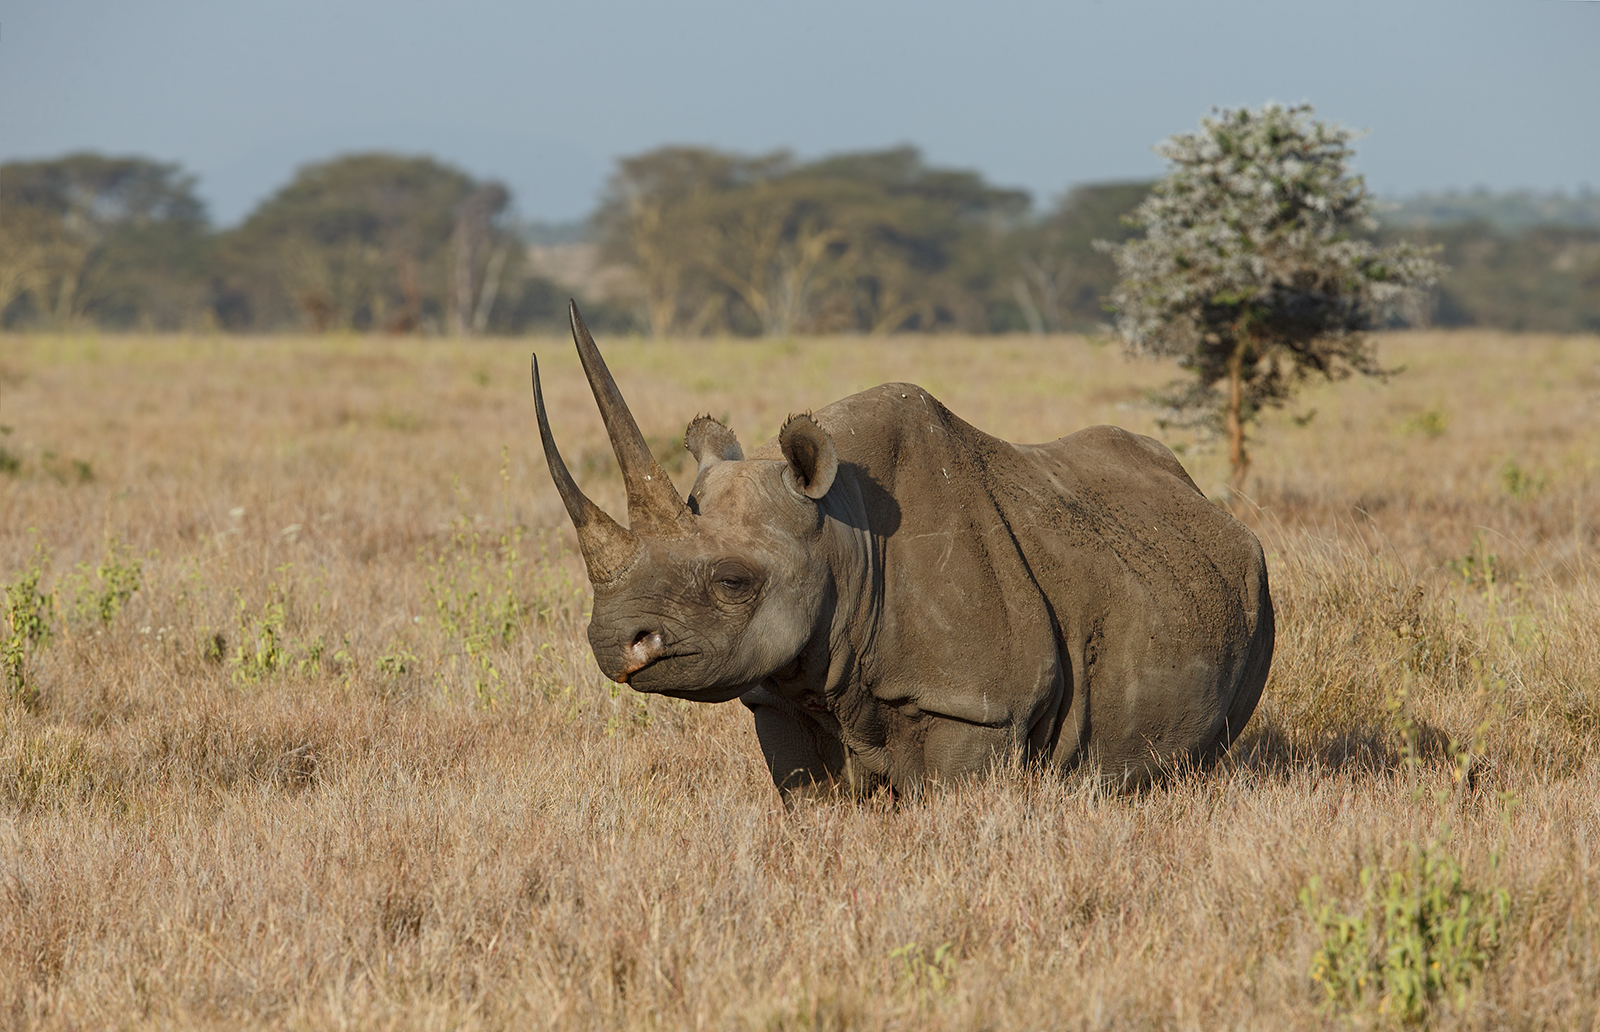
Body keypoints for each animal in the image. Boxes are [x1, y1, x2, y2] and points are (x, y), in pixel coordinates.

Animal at [532, 302, 1273, 800]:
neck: (842, 536)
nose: (612, 641)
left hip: (1253, 584)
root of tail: (1203, 498)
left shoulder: (972, 703)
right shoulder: (780, 694)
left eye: (734, 582)